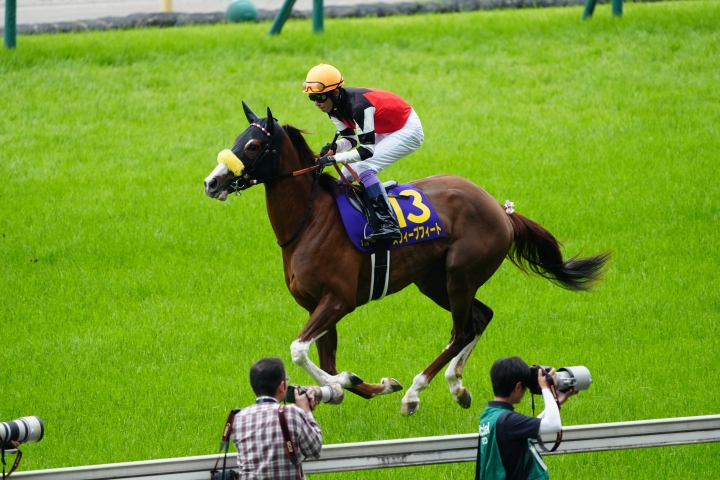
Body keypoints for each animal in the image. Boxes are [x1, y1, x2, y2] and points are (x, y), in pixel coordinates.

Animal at [203, 102, 610, 415]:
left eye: (253, 144)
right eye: (238, 139)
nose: (212, 182)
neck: (310, 221)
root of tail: (499, 209)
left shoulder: (338, 301)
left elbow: (300, 350)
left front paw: (342, 383)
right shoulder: (315, 305)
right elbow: (325, 361)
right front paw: (358, 385)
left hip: (459, 273)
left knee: (463, 329)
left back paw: (417, 392)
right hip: (433, 281)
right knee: (480, 318)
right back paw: (457, 387)